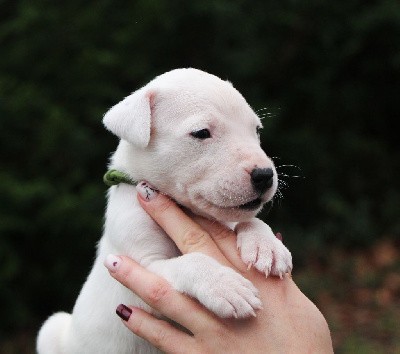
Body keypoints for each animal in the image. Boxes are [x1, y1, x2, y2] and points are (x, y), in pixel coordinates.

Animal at [36, 69, 290, 354]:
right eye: (201, 132)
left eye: (256, 130)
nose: (265, 175)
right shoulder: (142, 271)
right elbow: (192, 261)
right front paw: (226, 287)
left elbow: (250, 220)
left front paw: (267, 247)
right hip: (52, 330)